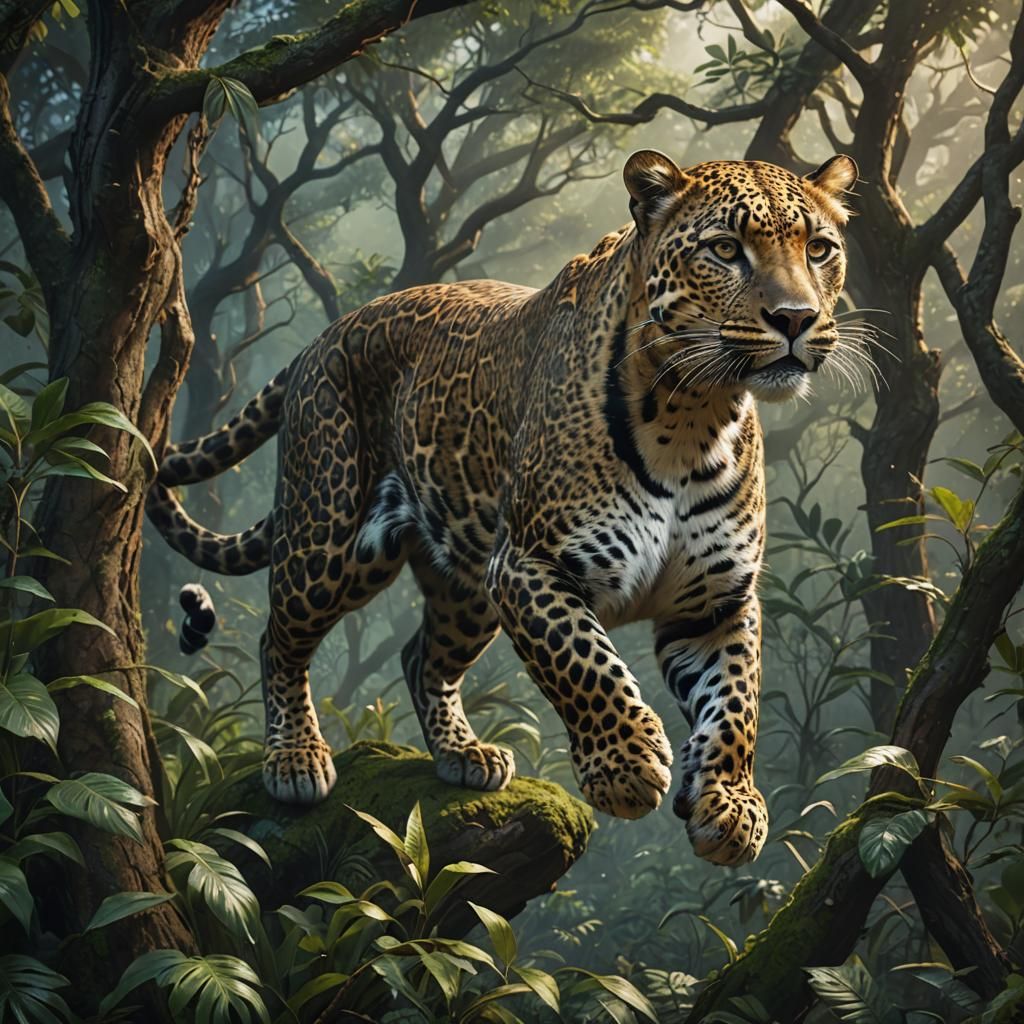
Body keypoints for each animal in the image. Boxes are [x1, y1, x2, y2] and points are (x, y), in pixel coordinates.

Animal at [147, 150, 859, 866]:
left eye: (819, 249)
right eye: (725, 249)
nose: (795, 318)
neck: (695, 415)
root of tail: (326, 334)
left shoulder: (716, 600)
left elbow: (736, 701)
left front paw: (732, 808)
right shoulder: (526, 566)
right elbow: (585, 663)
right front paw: (626, 766)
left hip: (463, 588)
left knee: (421, 658)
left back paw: (464, 755)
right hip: (329, 539)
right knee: (280, 638)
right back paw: (296, 760)